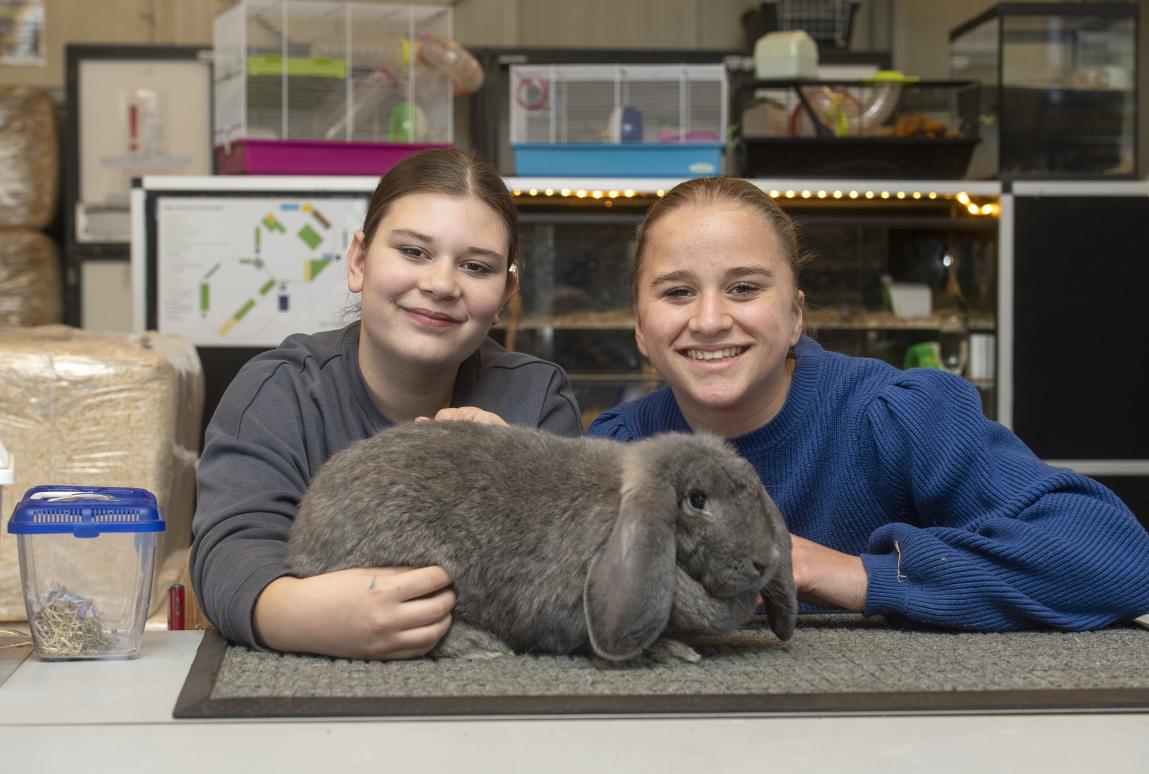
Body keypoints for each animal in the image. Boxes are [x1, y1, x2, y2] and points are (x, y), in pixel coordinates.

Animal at [282, 418, 795, 661]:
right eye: (697, 499)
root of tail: (301, 543)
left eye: (753, 488)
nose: (763, 560)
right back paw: (479, 645)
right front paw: (673, 651)